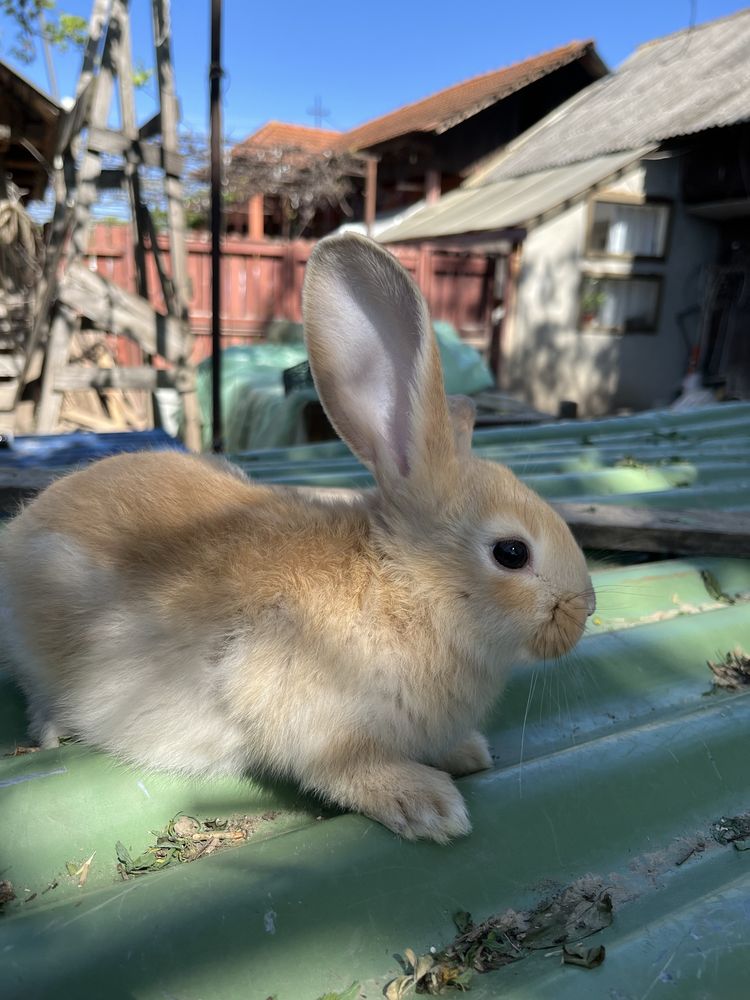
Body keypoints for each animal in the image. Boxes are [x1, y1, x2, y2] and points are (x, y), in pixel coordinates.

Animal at [1, 234, 600, 844]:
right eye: (511, 553)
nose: (586, 609)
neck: (408, 587)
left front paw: (468, 753)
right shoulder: (306, 716)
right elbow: (344, 771)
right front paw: (429, 806)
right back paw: (50, 730)